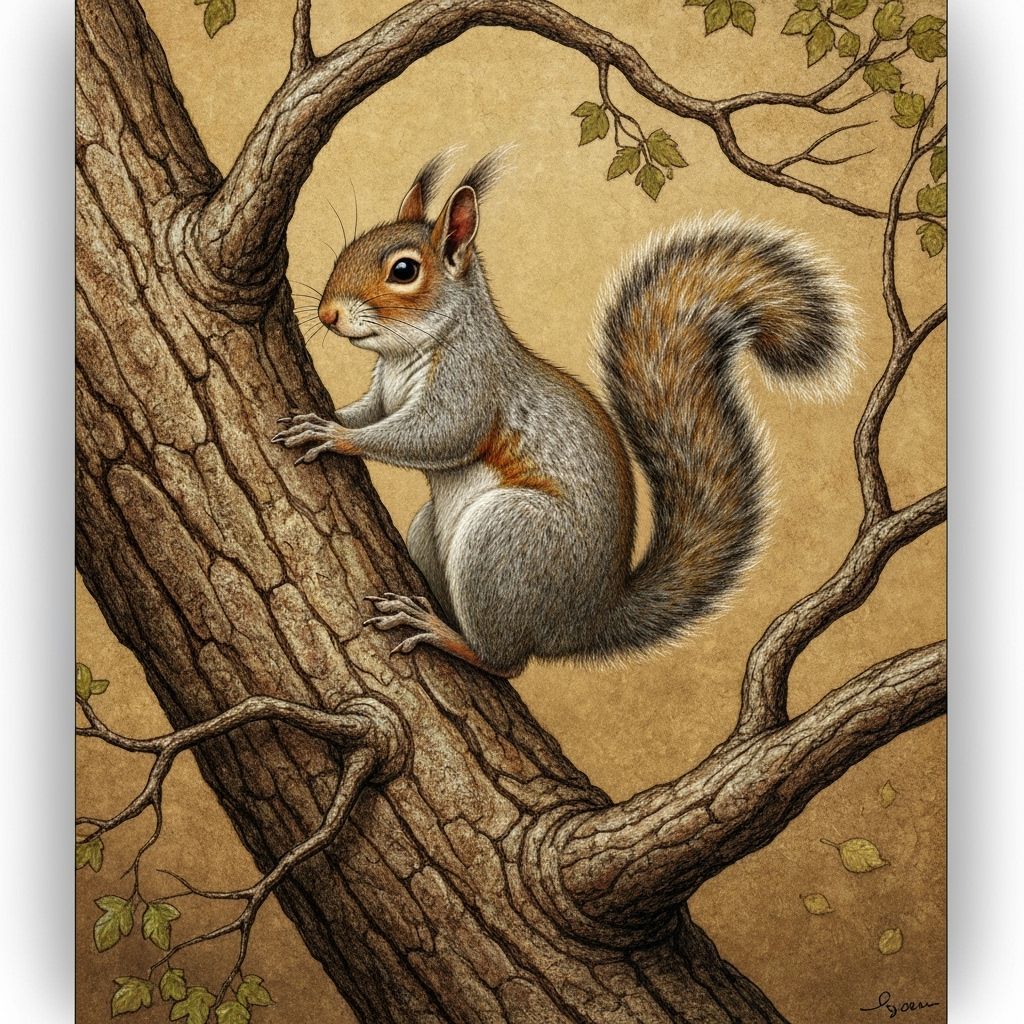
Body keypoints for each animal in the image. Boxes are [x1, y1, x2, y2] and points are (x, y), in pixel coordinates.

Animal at [273, 151, 855, 678]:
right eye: (348, 247)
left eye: (404, 270)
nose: (327, 313)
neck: (407, 352)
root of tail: (585, 621)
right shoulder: (383, 393)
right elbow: (368, 411)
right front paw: (321, 417)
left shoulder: (472, 384)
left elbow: (436, 436)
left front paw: (336, 437)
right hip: (434, 532)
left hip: (507, 540)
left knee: (505, 662)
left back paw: (440, 632)